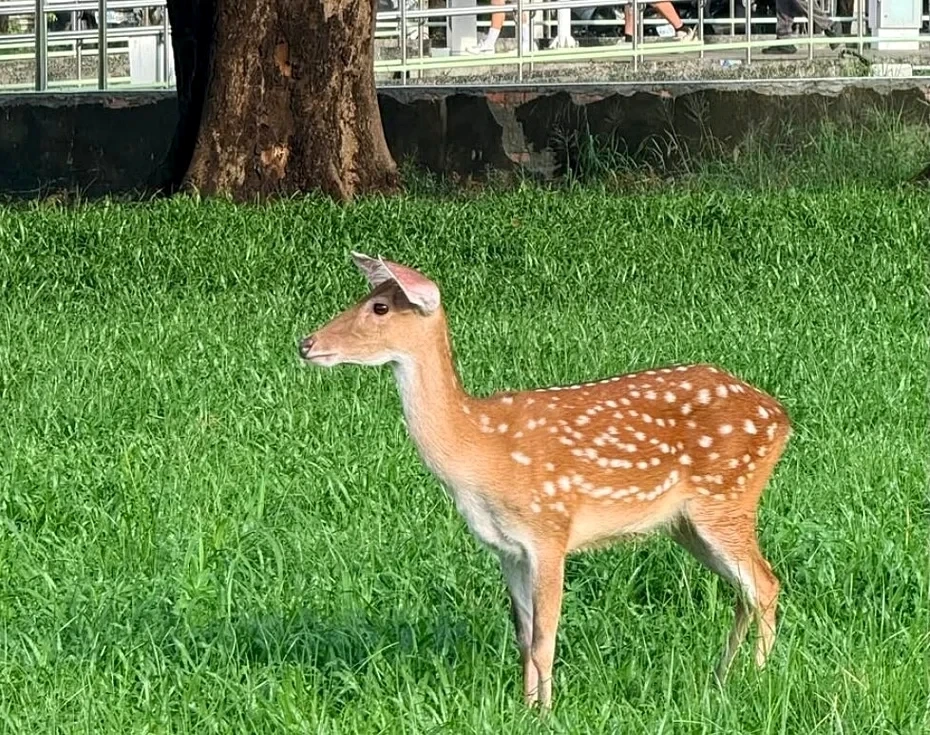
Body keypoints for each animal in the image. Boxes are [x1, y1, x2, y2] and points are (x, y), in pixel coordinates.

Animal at [298, 252, 792, 710]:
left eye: (379, 307)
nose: (306, 343)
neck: (480, 450)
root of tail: (782, 417)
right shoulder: (507, 548)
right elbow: (523, 637)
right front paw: (524, 707)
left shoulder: (550, 530)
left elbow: (545, 638)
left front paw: (545, 713)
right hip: (685, 523)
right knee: (744, 590)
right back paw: (721, 679)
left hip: (727, 496)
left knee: (765, 585)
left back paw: (755, 678)